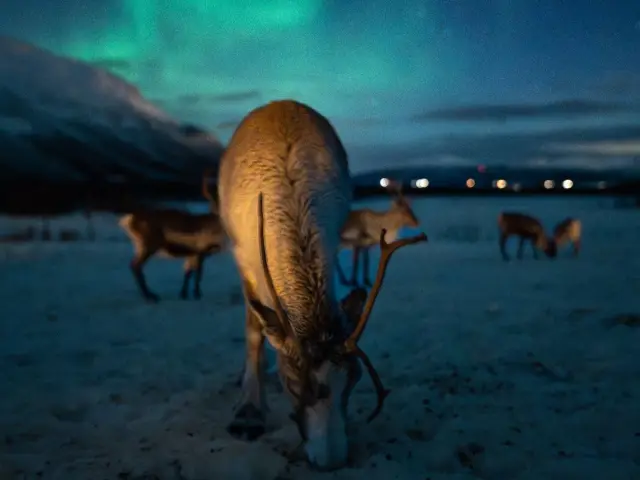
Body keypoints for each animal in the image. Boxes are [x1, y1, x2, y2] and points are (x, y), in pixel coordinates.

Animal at [118, 169, 226, 302]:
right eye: (212, 199)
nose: (218, 213)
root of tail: (130, 219)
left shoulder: (192, 253)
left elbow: (188, 272)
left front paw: (184, 294)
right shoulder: (200, 252)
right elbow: (198, 274)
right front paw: (197, 294)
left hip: (141, 246)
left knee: (135, 266)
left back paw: (149, 295)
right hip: (150, 246)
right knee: (136, 266)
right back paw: (150, 296)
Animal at [217, 99, 428, 471]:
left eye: (354, 379)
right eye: (293, 382)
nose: (331, 462)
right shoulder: (243, 257)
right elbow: (254, 331)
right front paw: (248, 413)